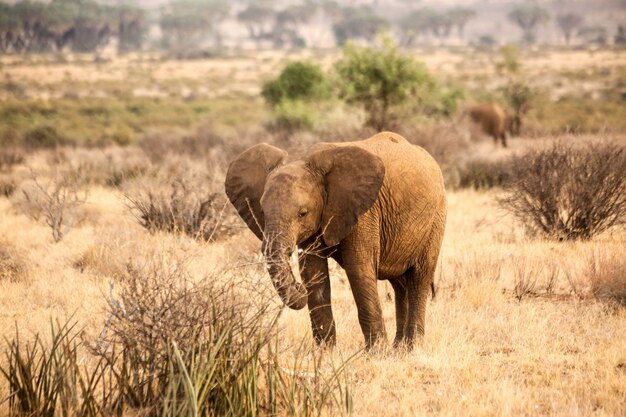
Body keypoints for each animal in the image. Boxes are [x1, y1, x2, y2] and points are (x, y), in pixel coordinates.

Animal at [227, 132, 446, 350]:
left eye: (302, 213)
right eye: (263, 213)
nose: (298, 287)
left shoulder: (364, 213)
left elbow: (359, 269)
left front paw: (376, 352)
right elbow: (314, 272)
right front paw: (325, 352)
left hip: (436, 218)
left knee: (418, 278)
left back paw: (412, 347)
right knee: (400, 285)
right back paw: (399, 349)